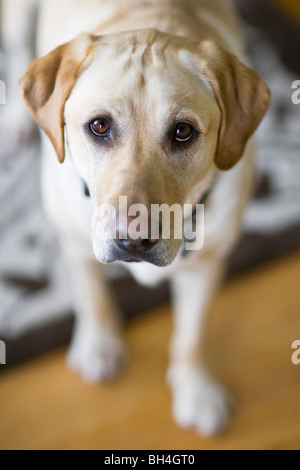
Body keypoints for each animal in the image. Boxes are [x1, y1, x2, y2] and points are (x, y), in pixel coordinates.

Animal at [1, 0, 270, 436]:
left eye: (183, 132)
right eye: (99, 126)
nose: (134, 238)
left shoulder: (208, 263)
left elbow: (191, 336)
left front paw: (196, 391)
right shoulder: (74, 241)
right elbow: (93, 297)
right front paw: (99, 346)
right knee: (16, 50)